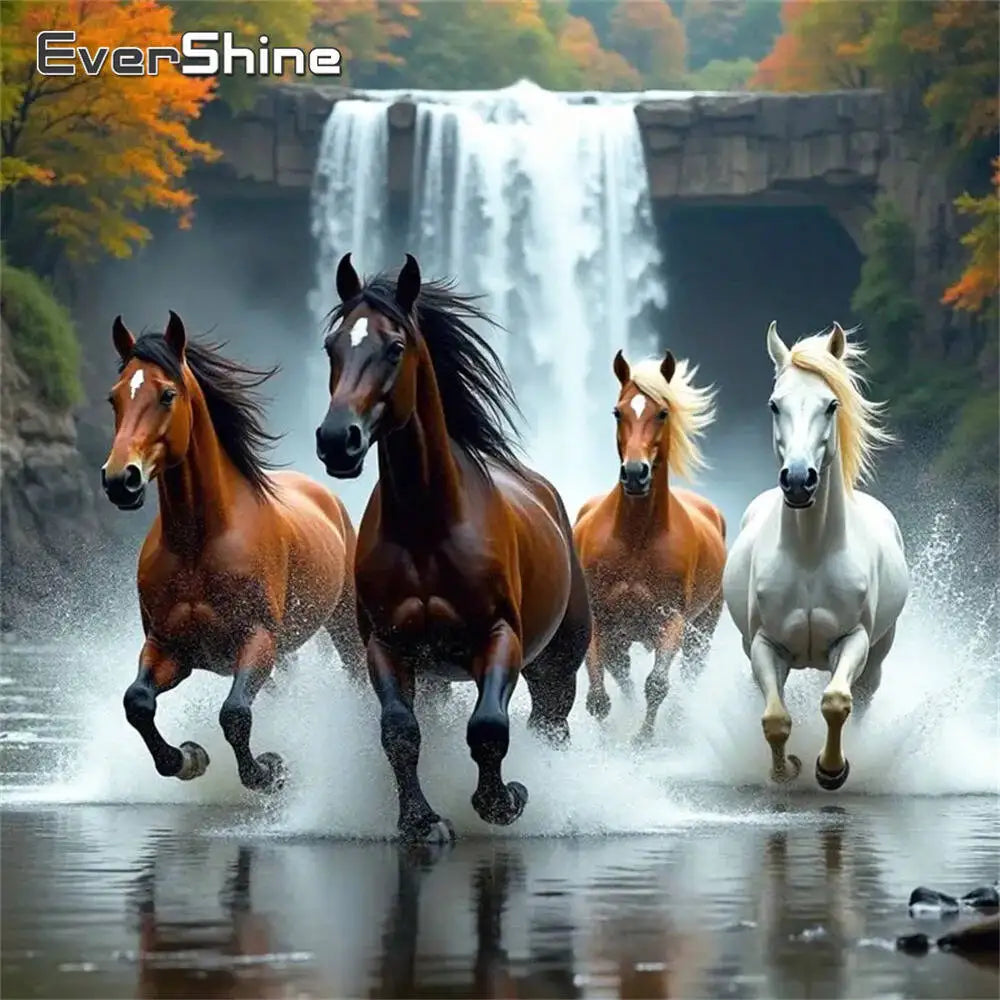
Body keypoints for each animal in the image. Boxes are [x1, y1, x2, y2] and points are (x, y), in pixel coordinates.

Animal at [101, 311, 364, 793]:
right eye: (115, 397)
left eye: (167, 394)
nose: (119, 480)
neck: (197, 544)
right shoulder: (169, 647)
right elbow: (138, 702)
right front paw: (187, 758)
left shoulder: (256, 639)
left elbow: (235, 714)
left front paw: (270, 770)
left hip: (343, 627)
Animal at [314, 252, 591, 843]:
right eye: (332, 346)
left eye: (395, 347)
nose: (337, 440)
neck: (427, 529)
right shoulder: (389, 646)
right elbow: (400, 731)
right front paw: (421, 821)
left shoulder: (499, 637)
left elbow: (488, 728)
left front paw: (504, 800)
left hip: (557, 666)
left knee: (549, 723)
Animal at [573, 348, 727, 745]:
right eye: (617, 411)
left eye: (662, 412)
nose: (635, 474)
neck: (635, 541)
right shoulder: (600, 618)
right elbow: (599, 696)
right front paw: (607, 738)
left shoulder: (671, 620)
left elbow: (657, 684)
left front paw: (642, 739)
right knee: (621, 672)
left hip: (703, 629)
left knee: (687, 674)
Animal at [721, 321, 909, 790]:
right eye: (775, 404)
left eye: (831, 404)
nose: (798, 481)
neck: (810, 554)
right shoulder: (765, 645)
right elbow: (775, 719)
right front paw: (786, 769)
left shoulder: (853, 640)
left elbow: (836, 702)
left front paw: (830, 769)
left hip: (878, 656)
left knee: (860, 700)